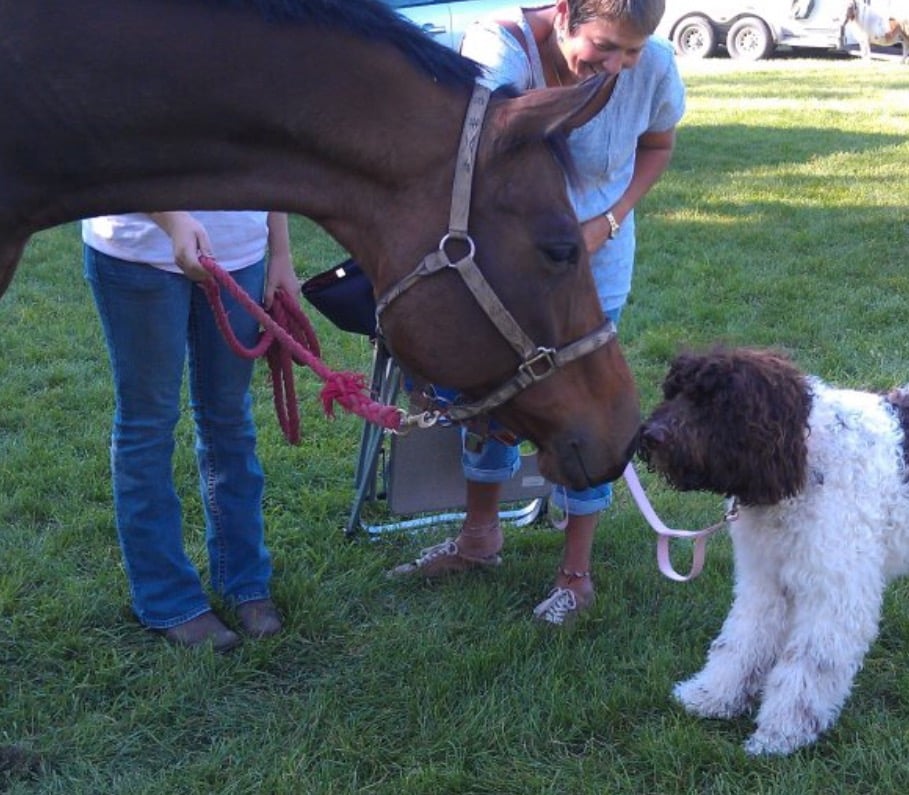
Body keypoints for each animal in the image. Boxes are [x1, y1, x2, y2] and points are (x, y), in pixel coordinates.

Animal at [639, 347, 909, 755]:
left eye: (715, 402)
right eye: (674, 392)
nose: (650, 436)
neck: (804, 464)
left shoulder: (833, 592)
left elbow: (809, 664)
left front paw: (782, 732)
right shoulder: (763, 579)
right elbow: (740, 641)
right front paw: (712, 696)